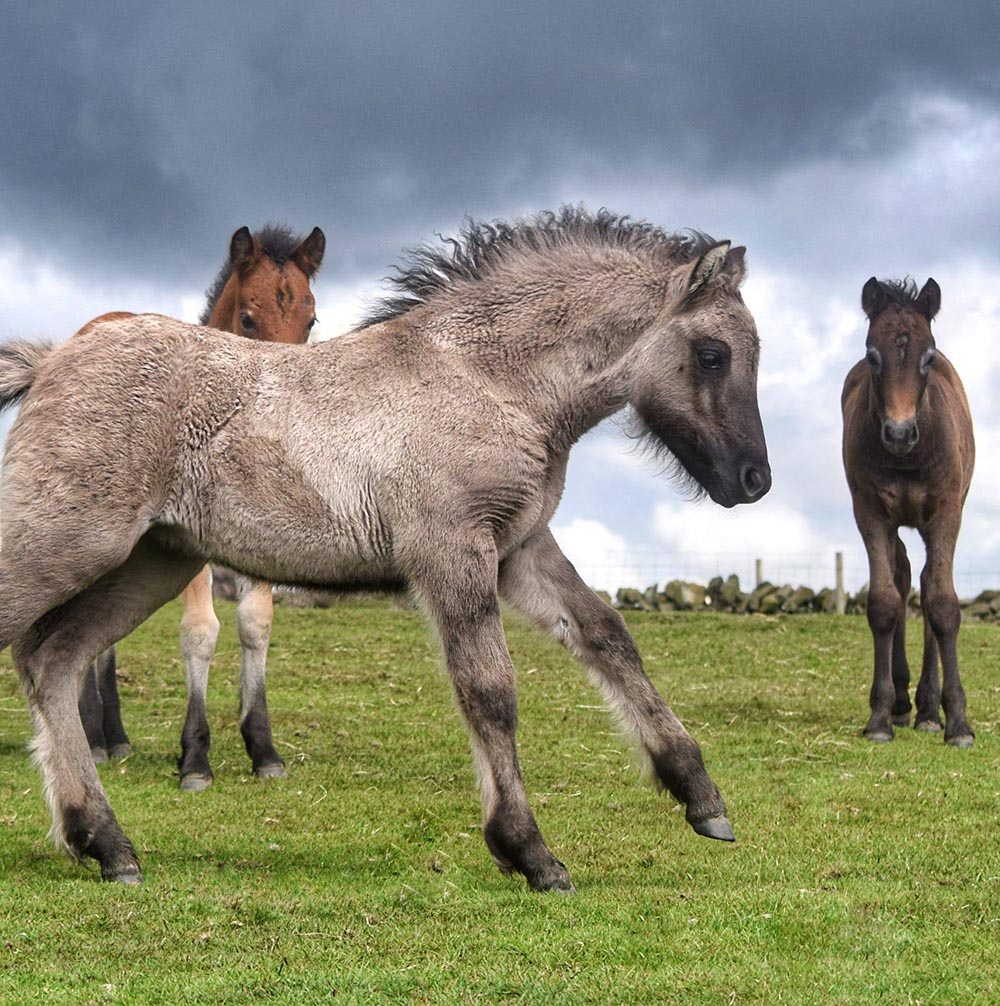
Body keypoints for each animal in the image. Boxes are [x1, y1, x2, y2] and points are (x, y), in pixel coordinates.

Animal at [841, 275, 973, 748]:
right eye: (872, 356)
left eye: (928, 356)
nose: (899, 433)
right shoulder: (870, 512)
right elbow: (883, 602)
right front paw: (879, 716)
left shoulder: (947, 511)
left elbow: (943, 604)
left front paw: (958, 724)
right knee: (901, 577)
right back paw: (902, 702)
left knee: (929, 583)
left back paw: (929, 710)